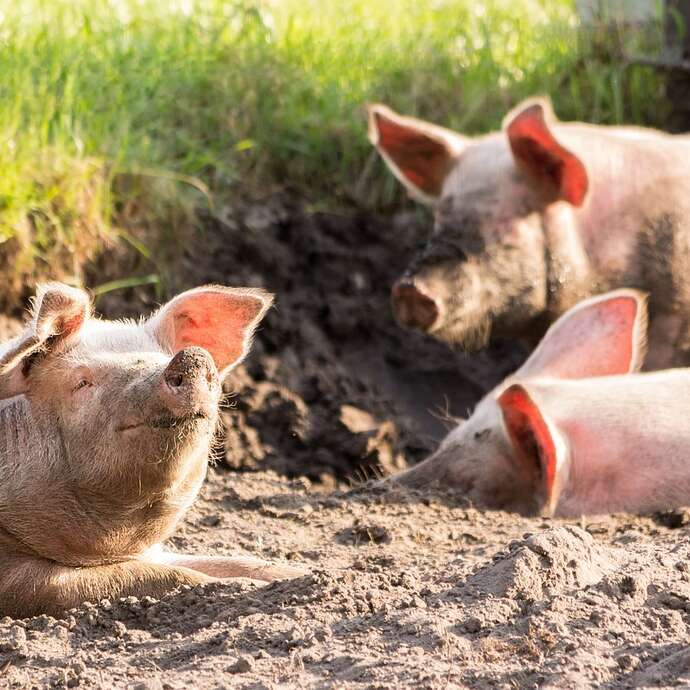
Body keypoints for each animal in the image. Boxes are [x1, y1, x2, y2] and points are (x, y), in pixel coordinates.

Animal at [0, 283, 303, 618]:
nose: (192, 357)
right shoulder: (18, 581)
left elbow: (237, 562)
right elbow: (156, 575)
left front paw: (304, 574)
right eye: (82, 382)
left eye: (160, 358)